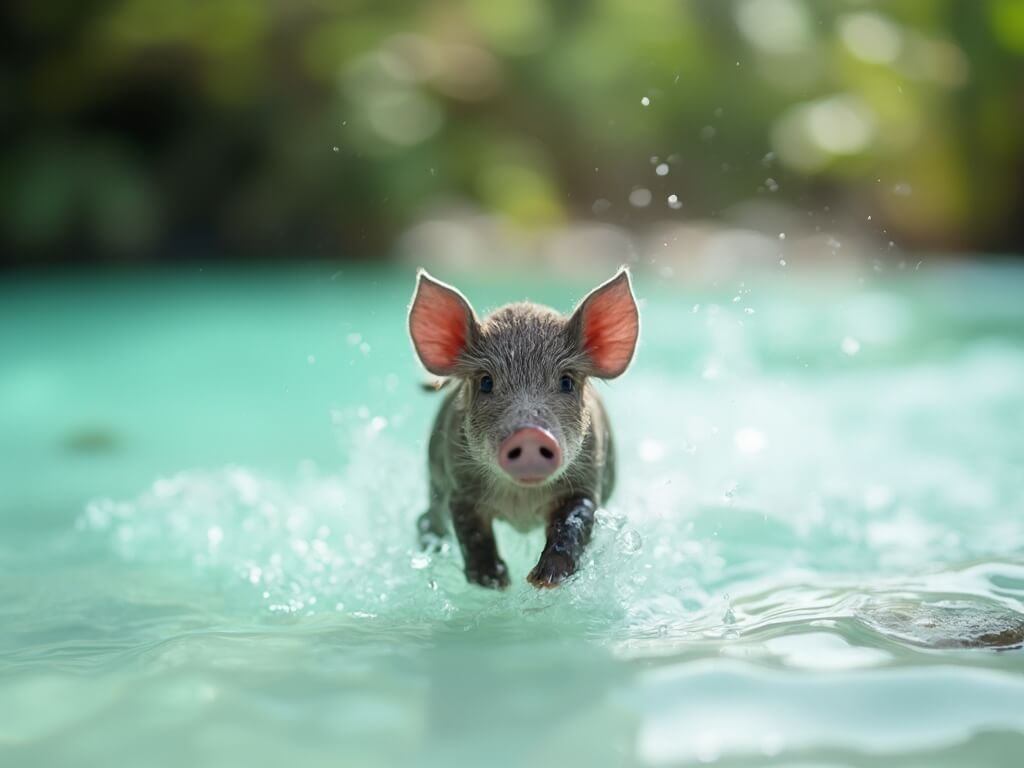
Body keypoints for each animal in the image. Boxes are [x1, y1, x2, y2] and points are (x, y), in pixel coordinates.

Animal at [407, 268, 640, 588]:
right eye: (486, 382)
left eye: (567, 381)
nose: (530, 434)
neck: (521, 503)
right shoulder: (460, 484)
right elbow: (471, 529)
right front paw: (496, 582)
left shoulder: (587, 481)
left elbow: (575, 521)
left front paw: (543, 580)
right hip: (434, 480)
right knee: (428, 518)